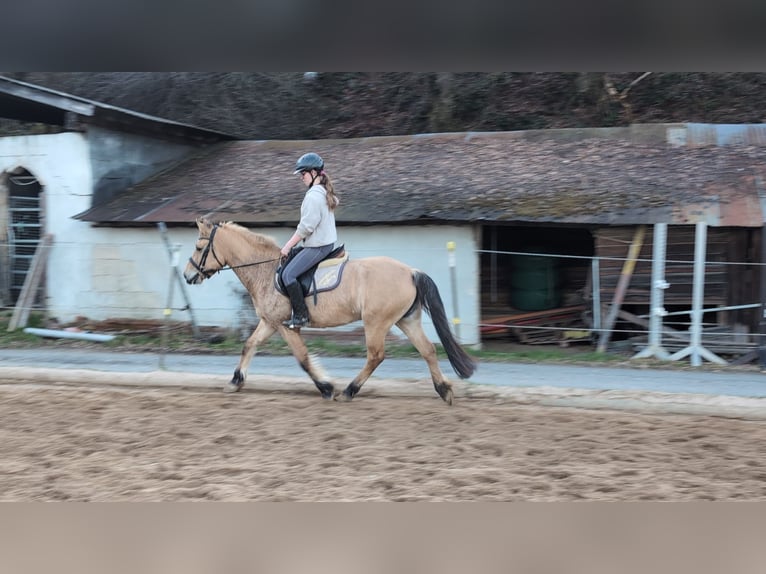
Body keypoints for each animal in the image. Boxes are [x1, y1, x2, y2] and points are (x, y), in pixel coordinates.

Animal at [183, 217, 476, 404]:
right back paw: (444, 390)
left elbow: (302, 358)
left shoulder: (285, 325)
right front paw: (235, 381)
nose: (187, 276)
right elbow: (249, 346)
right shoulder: (269, 322)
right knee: (427, 350)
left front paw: (326, 387)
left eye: (198, 247)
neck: (265, 270)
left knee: (376, 356)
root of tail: (410, 271)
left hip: (376, 323)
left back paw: (349, 391)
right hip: (406, 320)